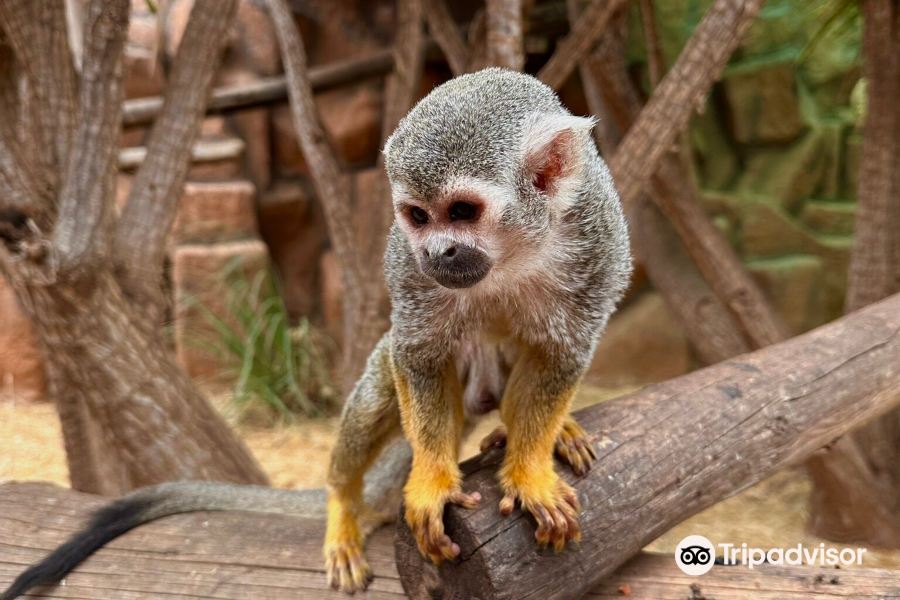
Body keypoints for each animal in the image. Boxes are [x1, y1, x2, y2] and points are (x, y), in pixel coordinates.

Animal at [1, 68, 630, 599]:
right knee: (380, 392)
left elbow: (563, 352)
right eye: (419, 216)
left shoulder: (596, 234)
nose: (438, 253)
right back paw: (343, 507)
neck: (513, 252)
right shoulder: (406, 265)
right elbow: (418, 353)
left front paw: (529, 468)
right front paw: (431, 482)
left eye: (462, 211)